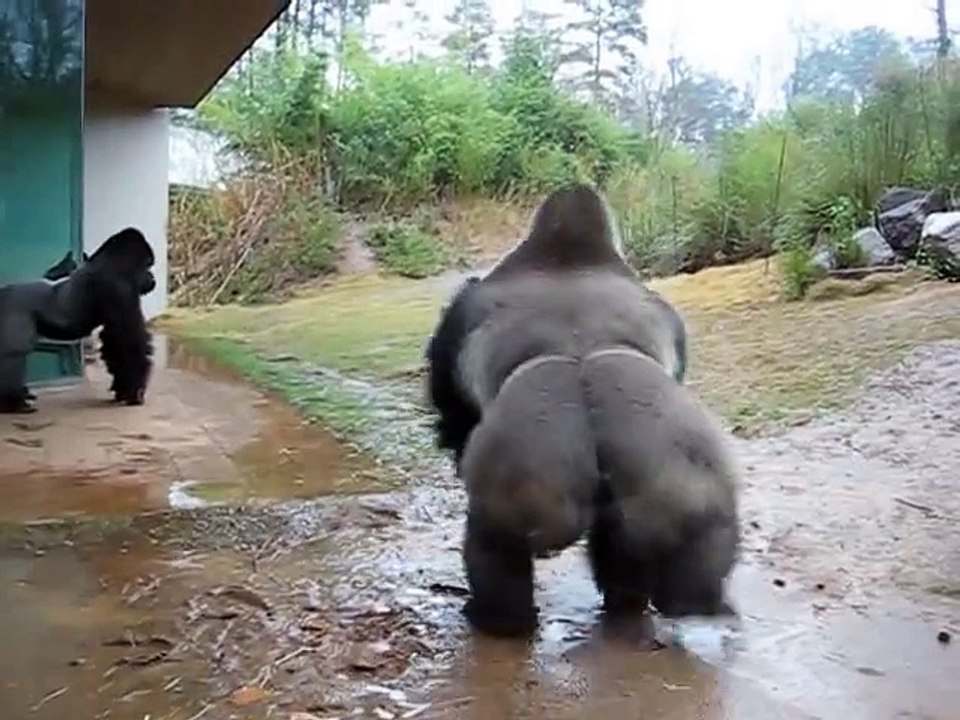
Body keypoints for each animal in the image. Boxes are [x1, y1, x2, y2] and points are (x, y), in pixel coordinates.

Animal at [423, 183, 740, 637]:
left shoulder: (459, 313)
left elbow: (455, 417)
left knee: (495, 536)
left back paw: (499, 618)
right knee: (690, 535)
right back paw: (677, 603)